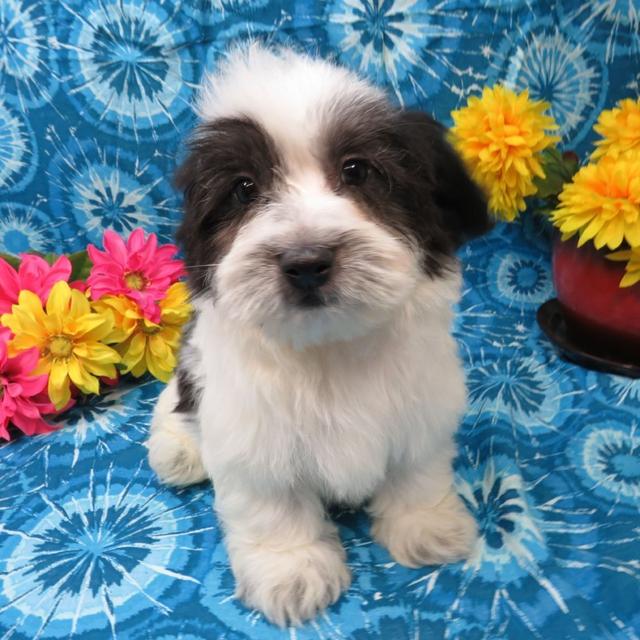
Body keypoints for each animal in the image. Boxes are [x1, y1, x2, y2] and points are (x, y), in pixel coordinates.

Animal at [148, 47, 492, 628]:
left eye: (358, 171)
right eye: (244, 188)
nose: (306, 262)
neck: (328, 347)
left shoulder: (422, 406)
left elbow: (417, 469)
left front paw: (427, 524)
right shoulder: (252, 435)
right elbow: (272, 506)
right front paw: (290, 570)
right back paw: (175, 450)